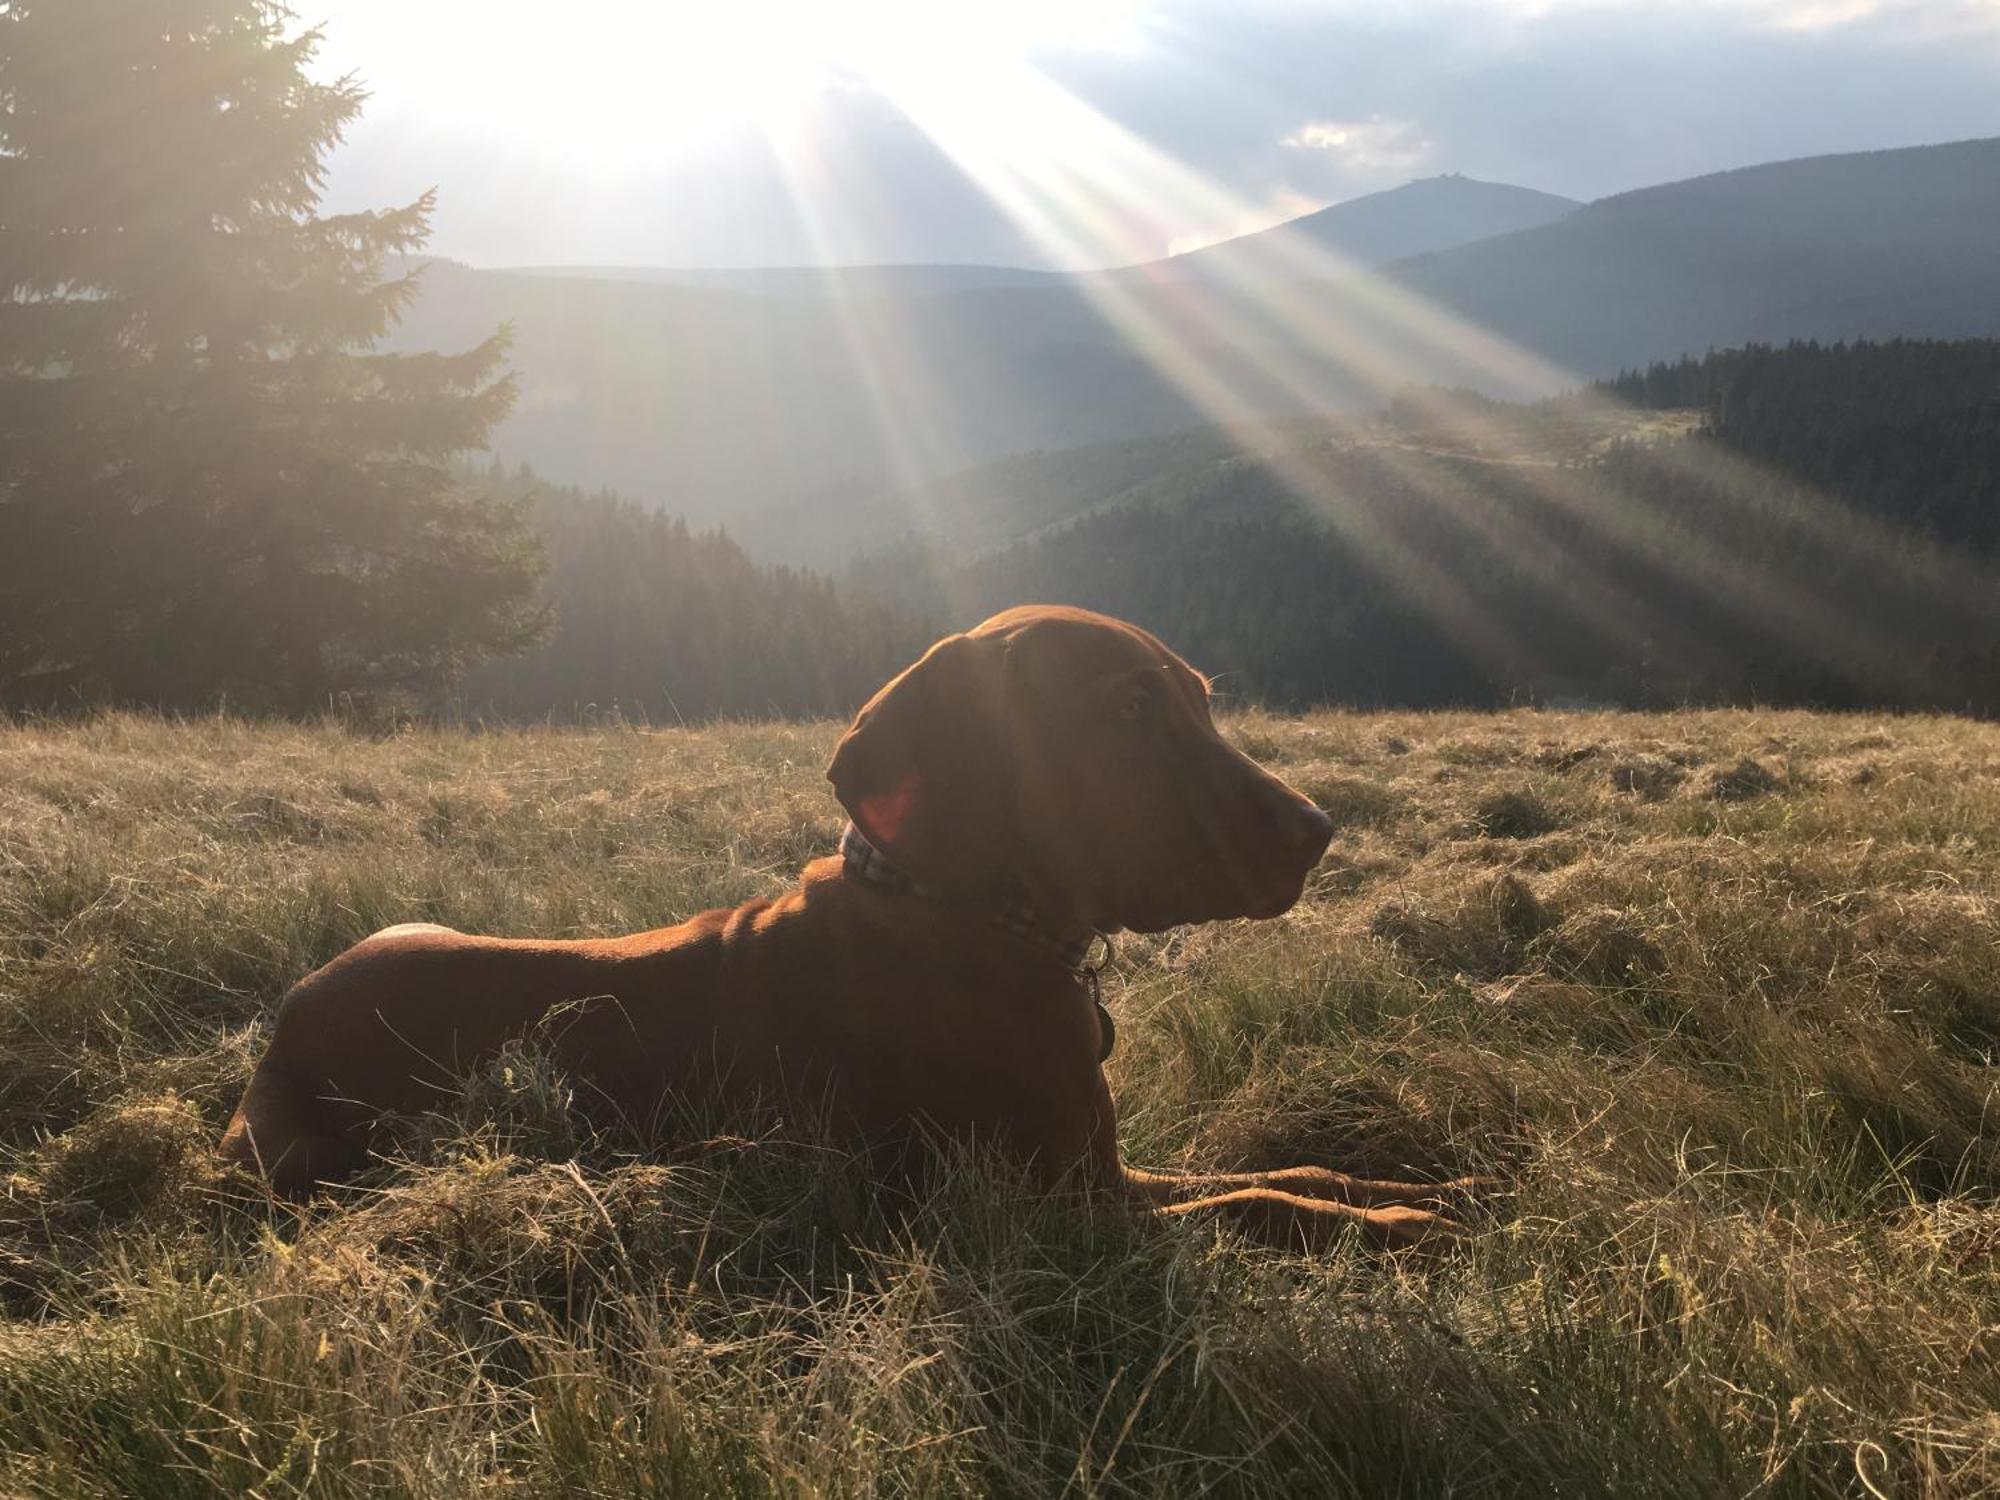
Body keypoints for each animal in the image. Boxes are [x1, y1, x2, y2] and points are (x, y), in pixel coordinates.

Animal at [223, 604, 1472, 1248]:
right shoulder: (1065, 1202)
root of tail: (277, 1036)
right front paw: (1403, 1223)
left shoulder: (1106, 1164)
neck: (973, 921)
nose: (1317, 828)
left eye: (1201, 699)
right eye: (1125, 708)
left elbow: (1285, 1168)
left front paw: (1416, 1189)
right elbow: (1258, 1199)